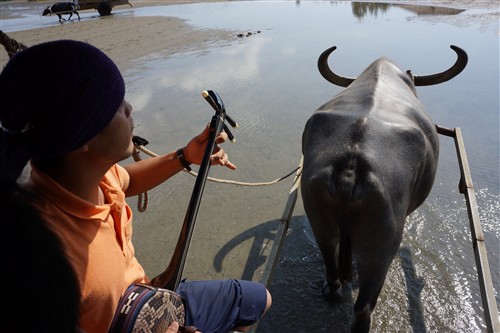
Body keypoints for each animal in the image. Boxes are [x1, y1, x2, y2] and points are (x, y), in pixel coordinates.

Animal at [300, 45, 468, 330]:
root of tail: (351, 162)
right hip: (381, 242)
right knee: (363, 307)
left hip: (320, 220)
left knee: (332, 273)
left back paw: (333, 287)